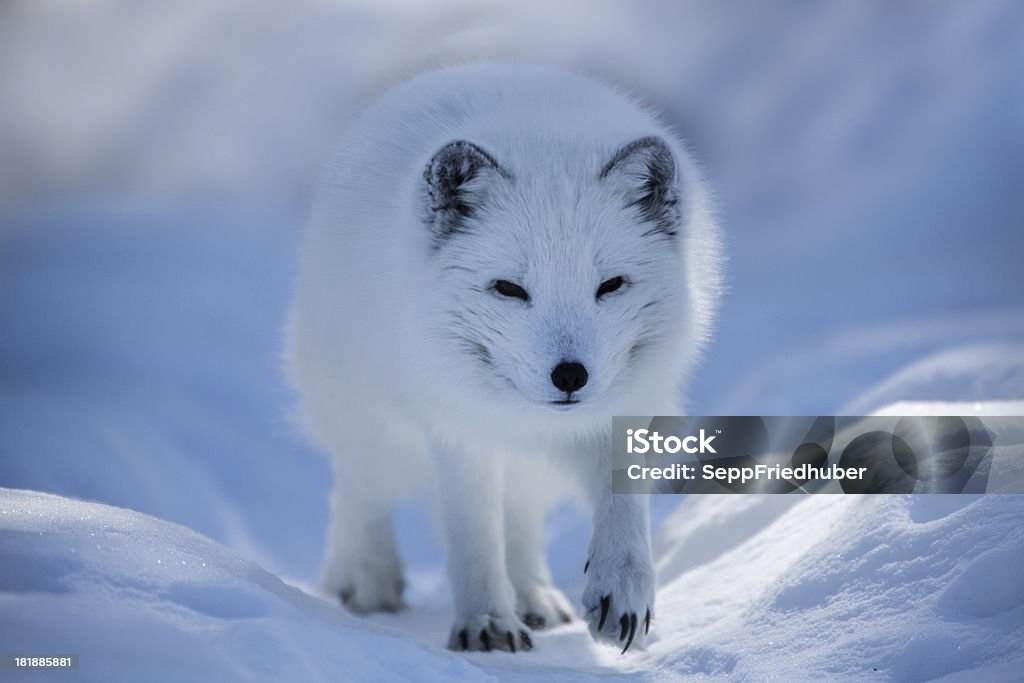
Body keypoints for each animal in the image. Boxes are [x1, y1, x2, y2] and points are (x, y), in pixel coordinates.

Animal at [286, 65, 720, 655]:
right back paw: (369, 580)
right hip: (368, 416)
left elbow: (622, 505)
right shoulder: (456, 430)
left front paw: (622, 591)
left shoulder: (629, 410)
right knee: (359, 490)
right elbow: (474, 538)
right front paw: (486, 623)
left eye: (609, 285)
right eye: (510, 289)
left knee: (521, 517)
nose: (570, 375)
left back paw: (535, 597)